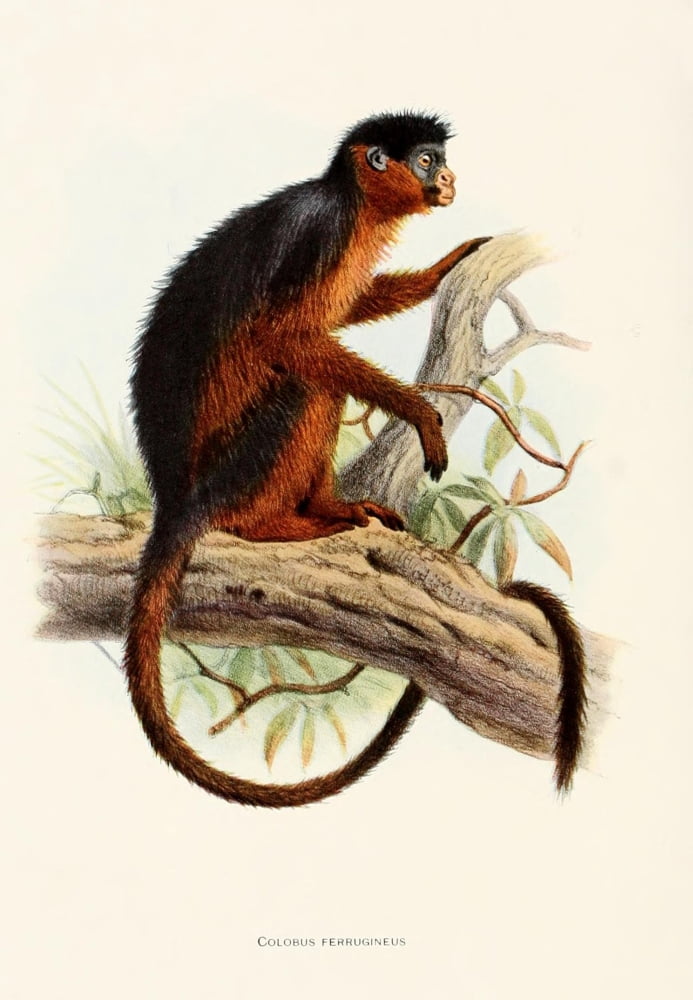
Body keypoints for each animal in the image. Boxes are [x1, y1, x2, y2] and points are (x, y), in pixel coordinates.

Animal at [125, 110, 585, 807]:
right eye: (425, 160)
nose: (448, 178)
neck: (350, 203)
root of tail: (175, 497)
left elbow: (349, 305)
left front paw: (447, 266)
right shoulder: (324, 232)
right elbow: (285, 337)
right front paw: (417, 411)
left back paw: (323, 507)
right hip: (227, 474)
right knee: (303, 380)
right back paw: (272, 524)